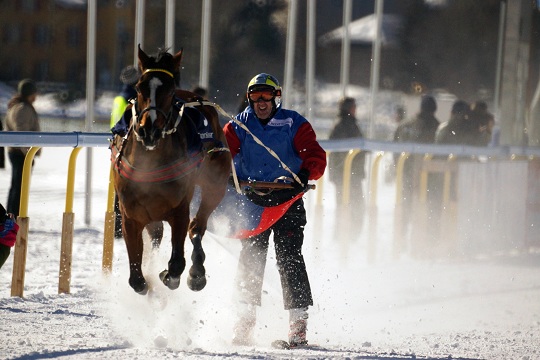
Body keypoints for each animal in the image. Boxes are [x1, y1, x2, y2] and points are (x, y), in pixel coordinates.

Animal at [112, 45, 232, 294]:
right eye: (139, 87)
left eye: (169, 90)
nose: (148, 129)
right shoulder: (131, 215)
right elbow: (137, 279)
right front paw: (147, 282)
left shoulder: (179, 209)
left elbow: (177, 262)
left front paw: (169, 274)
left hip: (215, 181)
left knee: (197, 226)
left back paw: (197, 272)